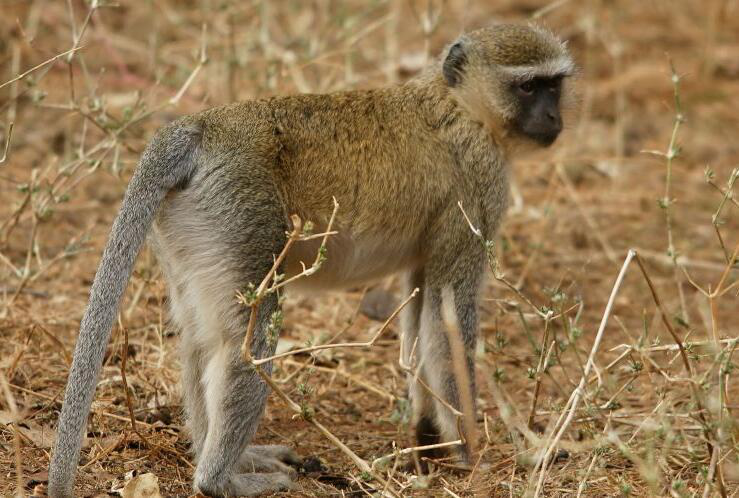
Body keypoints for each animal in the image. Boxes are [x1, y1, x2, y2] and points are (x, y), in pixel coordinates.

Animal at [49, 23, 576, 498]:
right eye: (529, 86)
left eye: (554, 85)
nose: (554, 118)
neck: (458, 104)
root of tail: (206, 128)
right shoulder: (479, 188)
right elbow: (448, 322)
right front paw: (476, 452)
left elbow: (423, 310)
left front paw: (428, 435)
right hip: (240, 211)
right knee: (250, 337)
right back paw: (220, 480)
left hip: (189, 232)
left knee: (202, 340)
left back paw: (218, 455)